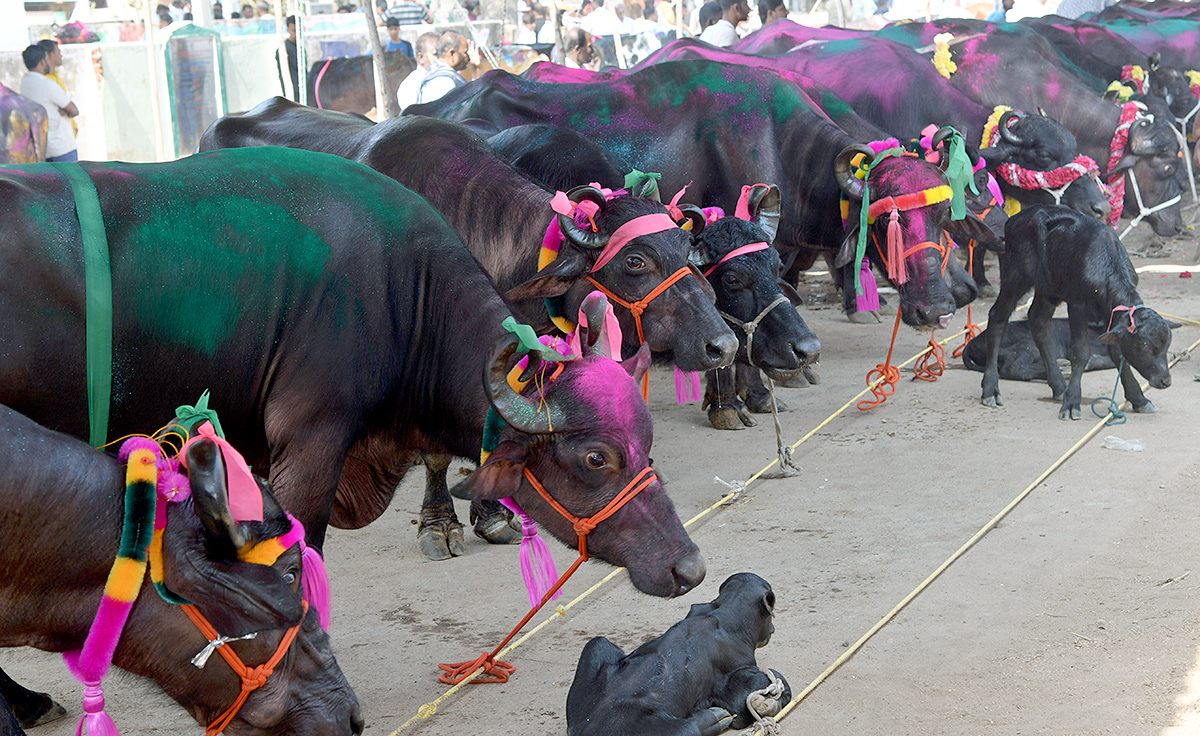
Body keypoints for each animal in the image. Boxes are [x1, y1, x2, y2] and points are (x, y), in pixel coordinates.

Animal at [566, 573, 792, 734]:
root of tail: (587, 726)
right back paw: (713, 718)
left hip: (596, 645)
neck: (723, 615)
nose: (772, 628)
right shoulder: (738, 675)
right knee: (687, 728)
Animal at [979, 205, 1166, 420]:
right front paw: (1072, 402)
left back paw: (1059, 386)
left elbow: (1117, 350)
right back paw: (990, 389)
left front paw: (1139, 399)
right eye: (1145, 347)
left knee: (1038, 321)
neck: (1107, 266)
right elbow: (1081, 351)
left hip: (1047, 289)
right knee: (997, 317)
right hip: (1015, 277)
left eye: (1166, 346)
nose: (1165, 380)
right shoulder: (1077, 305)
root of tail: (1017, 218)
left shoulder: (1111, 315)